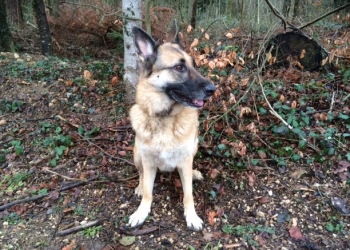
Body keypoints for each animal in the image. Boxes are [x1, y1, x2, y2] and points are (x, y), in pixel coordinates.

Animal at [129, 21, 216, 230]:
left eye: (195, 65)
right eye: (178, 67)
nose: (213, 89)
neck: (165, 118)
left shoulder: (184, 161)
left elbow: (188, 194)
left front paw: (191, 216)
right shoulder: (148, 162)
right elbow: (148, 192)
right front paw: (141, 211)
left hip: (193, 147)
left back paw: (194, 173)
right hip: (137, 154)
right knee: (141, 174)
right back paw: (139, 185)